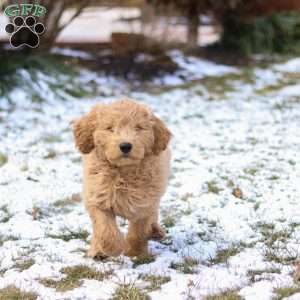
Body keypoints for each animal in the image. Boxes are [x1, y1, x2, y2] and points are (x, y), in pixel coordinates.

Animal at [72, 99, 171, 258]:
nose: (125, 146)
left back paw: (155, 231)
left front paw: (135, 251)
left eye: (138, 128)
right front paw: (113, 247)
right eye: (109, 128)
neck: (123, 172)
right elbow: (104, 228)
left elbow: (139, 230)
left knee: (154, 215)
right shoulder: (97, 196)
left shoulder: (145, 201)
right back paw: (97, 251)